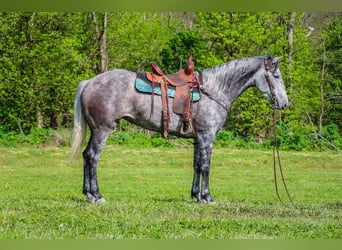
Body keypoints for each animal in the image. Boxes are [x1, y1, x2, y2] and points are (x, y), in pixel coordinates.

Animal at [69, 54, 288, 203]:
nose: (284, 103)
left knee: (86, 155)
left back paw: (88, 193)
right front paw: (207, 197)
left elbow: (197, 165)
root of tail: (89, 82)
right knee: (93, 157)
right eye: (276, 75)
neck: (214, 90)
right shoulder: (207, 137)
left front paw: (196, 195)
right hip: (102, 129)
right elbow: (206, 166)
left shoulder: (198, 139)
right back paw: (97, 195)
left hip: (95, 129)